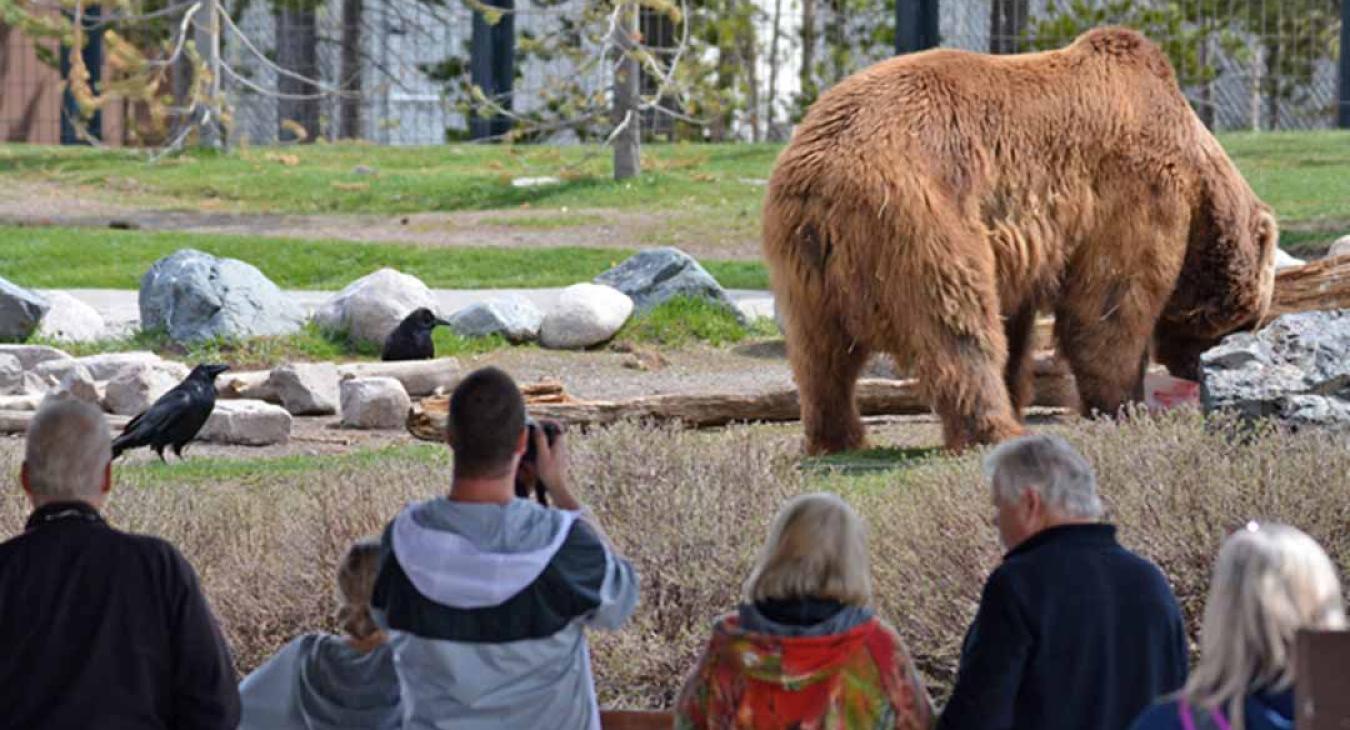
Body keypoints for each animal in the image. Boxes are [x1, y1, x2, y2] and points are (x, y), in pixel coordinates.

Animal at [763, 27, 1278, 454]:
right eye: (1249, 321)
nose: (1198, 370)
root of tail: (820, 184)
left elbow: (1019, 320)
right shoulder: (1136, 189)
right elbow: (1110, 303)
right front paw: (1124, 405)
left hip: (804, 268)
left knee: (820, 356)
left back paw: (837, 436)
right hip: (919, 216)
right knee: (957, 325)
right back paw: (996, 429)